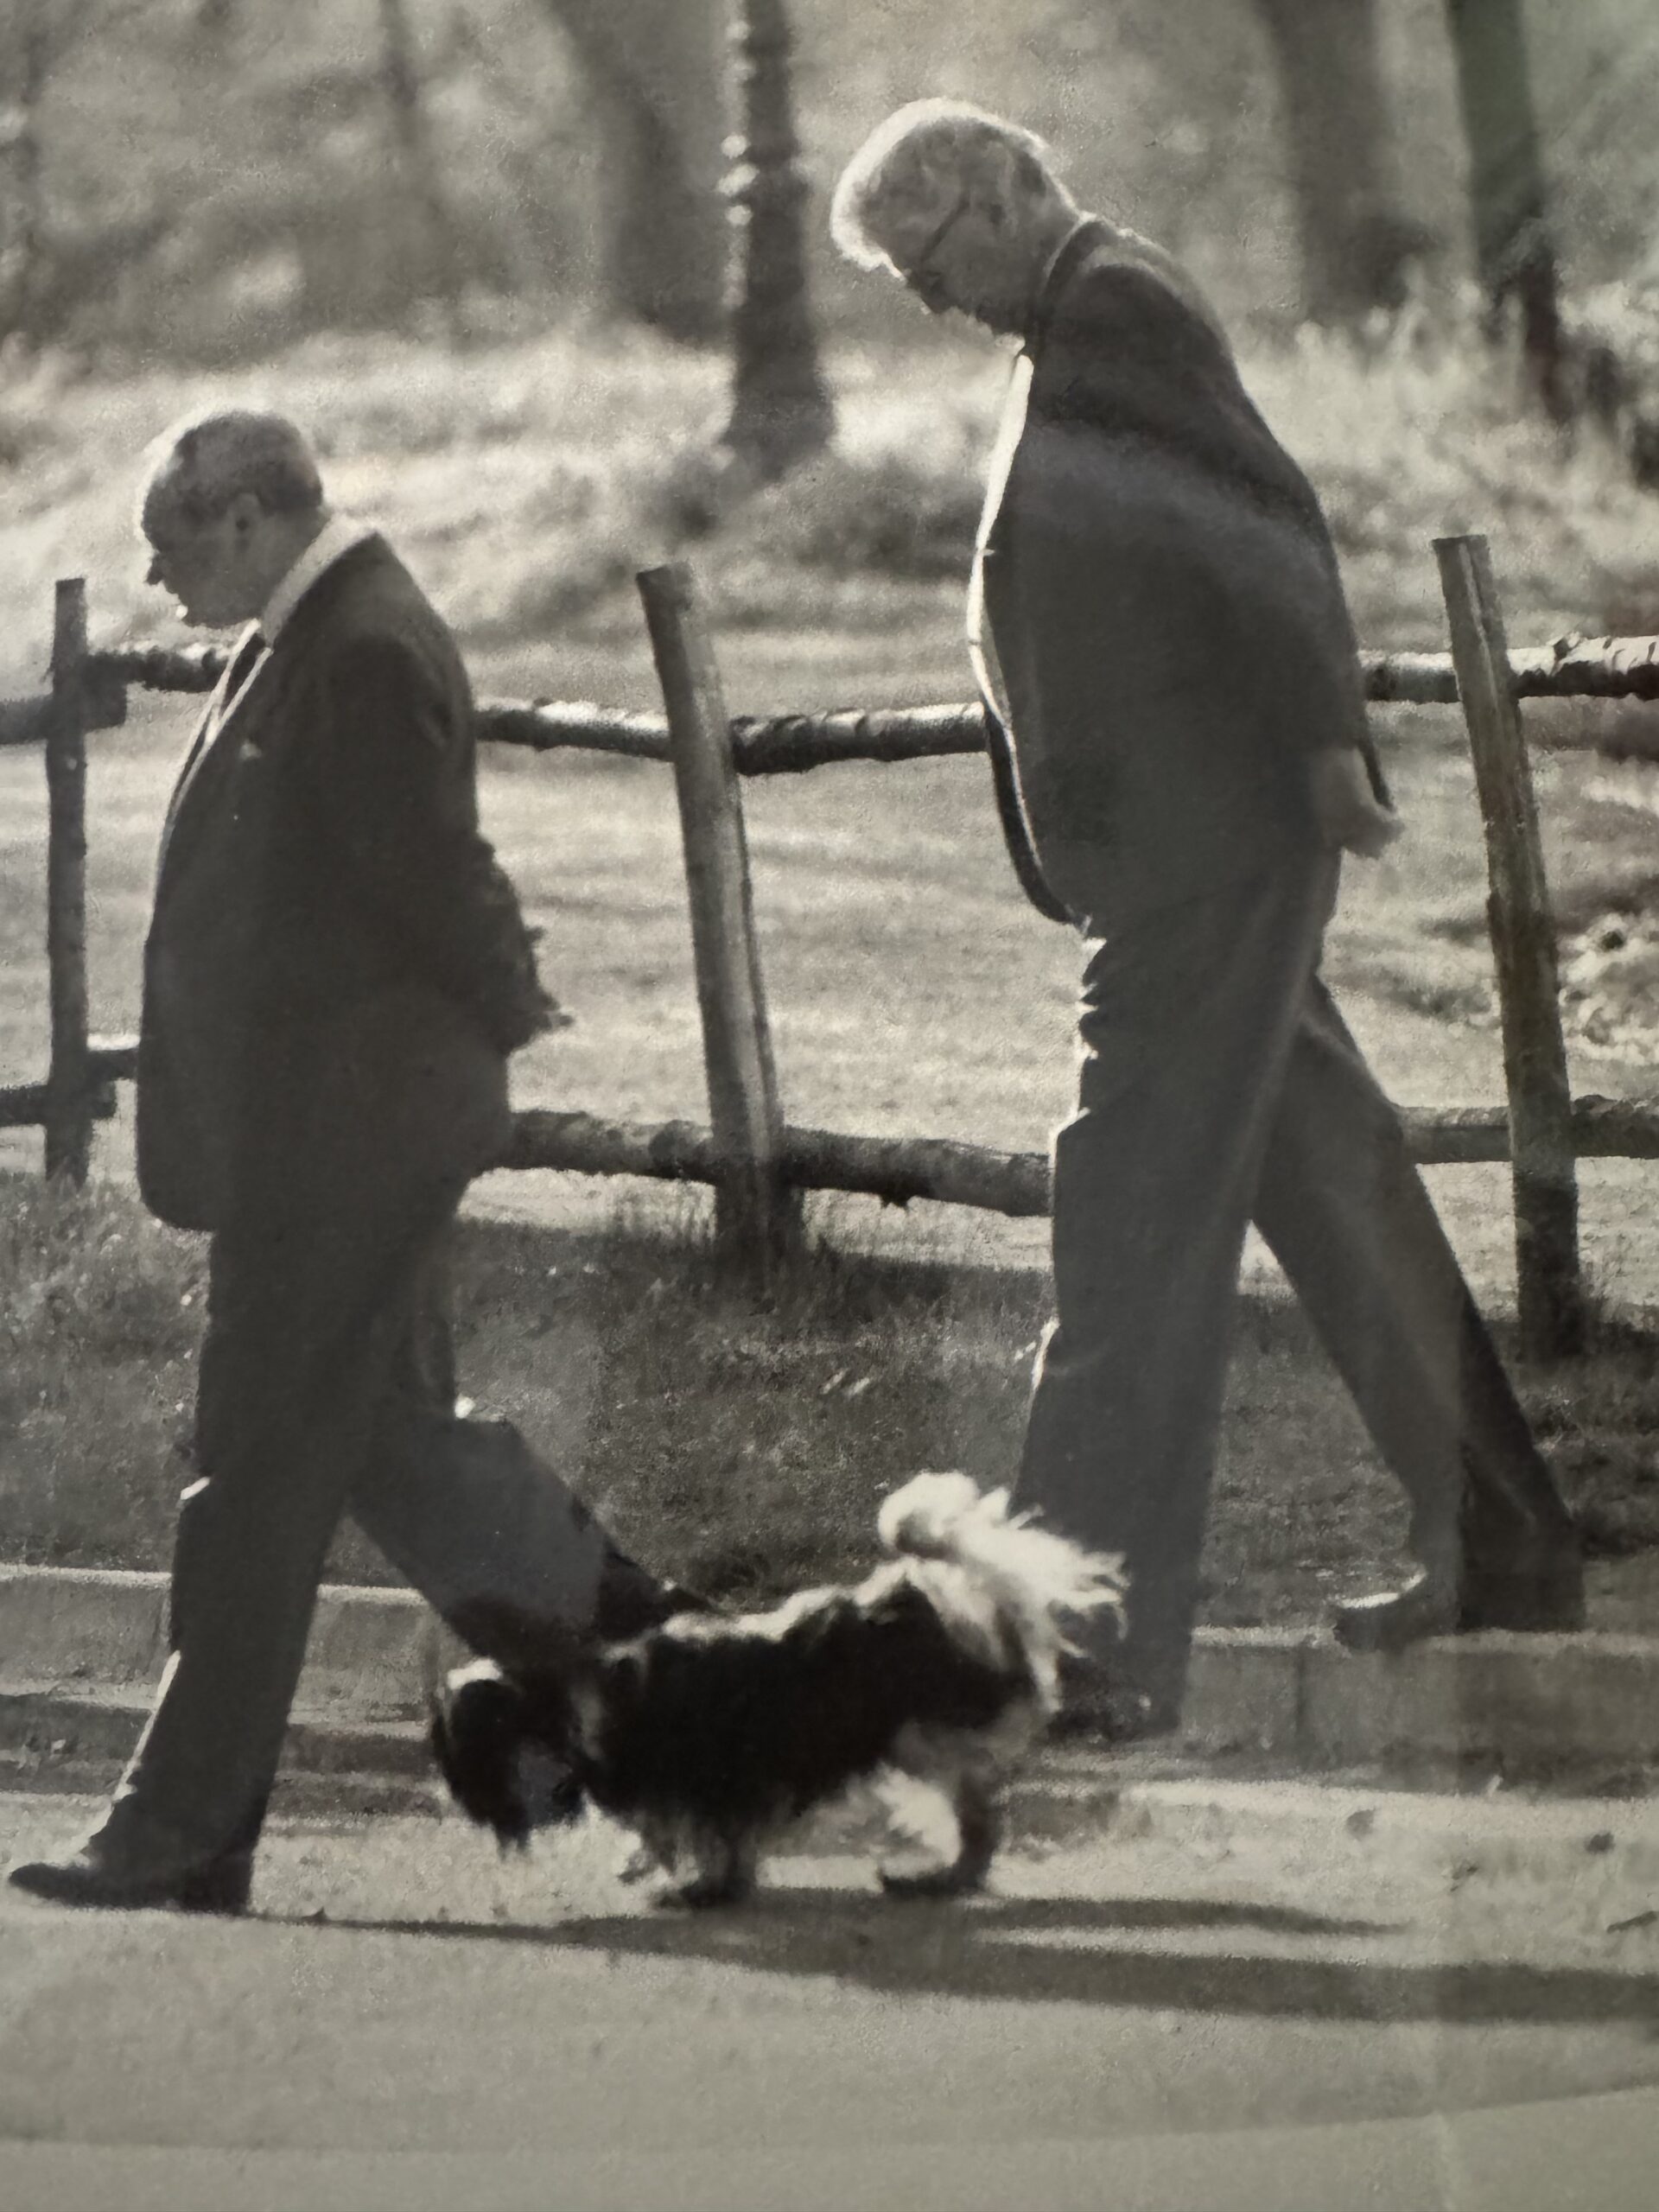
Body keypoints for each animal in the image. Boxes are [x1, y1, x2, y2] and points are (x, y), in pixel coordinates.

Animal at [429, 1468, 1132, 1902]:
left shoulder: (710, 1782)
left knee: (979, 1817)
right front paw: (657, 1870)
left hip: (923, 1738)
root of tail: (915, 1601)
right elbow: (672, 1834)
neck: (565, 1694)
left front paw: (702, 1890)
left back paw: (944, 1879)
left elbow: (704, 1838)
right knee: (979, 1814)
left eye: (463, 1759)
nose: (466, 1809)